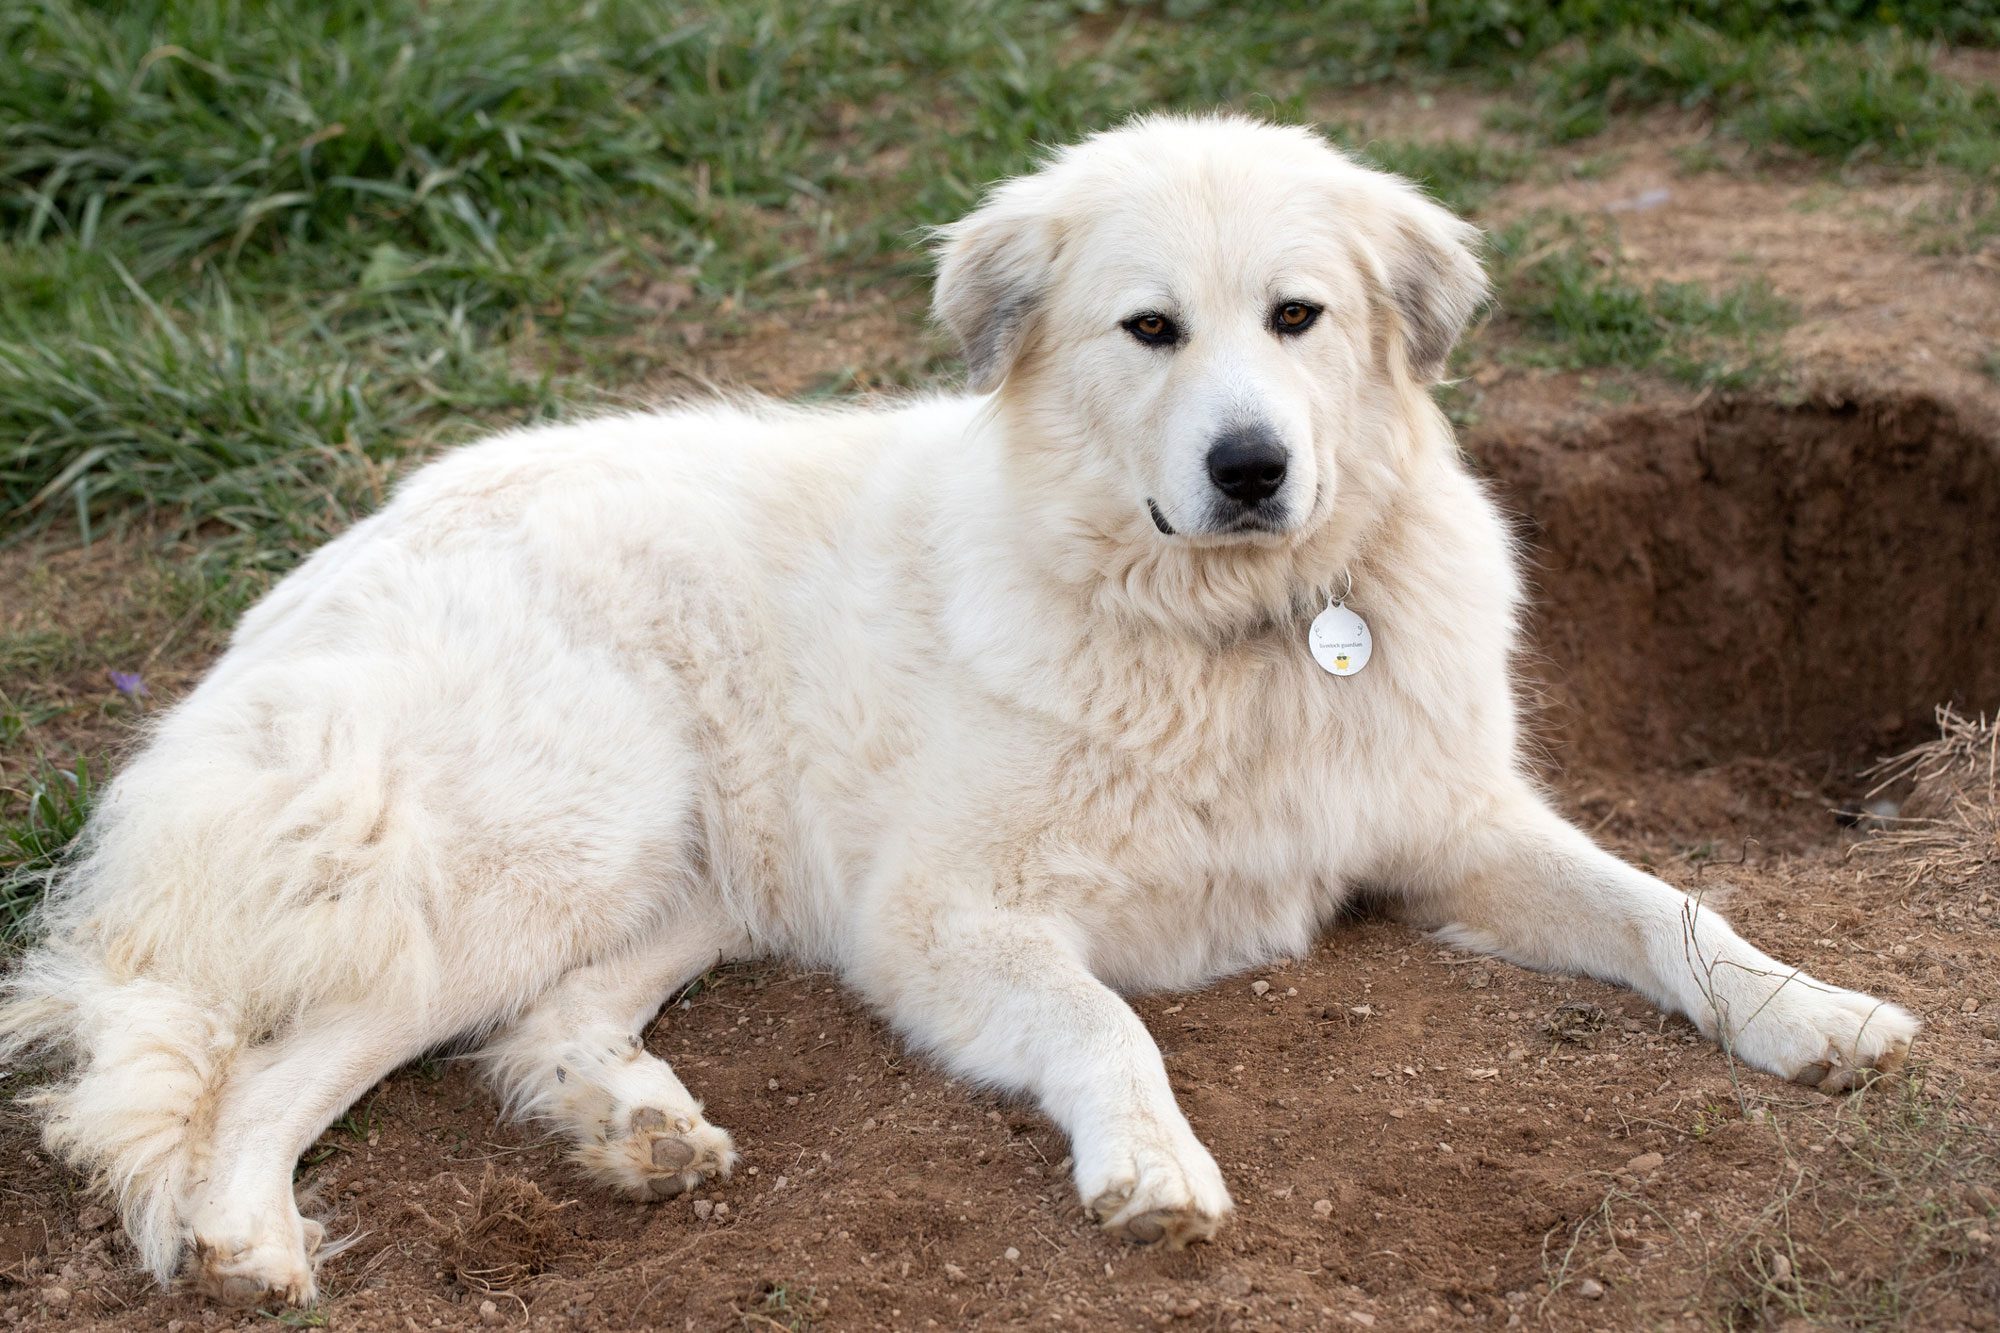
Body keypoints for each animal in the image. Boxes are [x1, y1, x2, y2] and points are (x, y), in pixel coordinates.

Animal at [0, 114, 1912, 1296]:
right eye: (1149, 329)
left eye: (1298, 316)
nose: (1252, 468)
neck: (1226, 634)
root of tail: (322, 569)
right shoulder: (945, 913)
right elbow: (1109, 1023)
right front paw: (1149, 1166)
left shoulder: (1460, 828)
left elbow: (1676, 909)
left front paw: (1814, 1014)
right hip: (554, 836)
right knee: (278, 1061)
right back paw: (250, 1236)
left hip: (691, 876)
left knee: (534, 1027)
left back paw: (634, 1126)